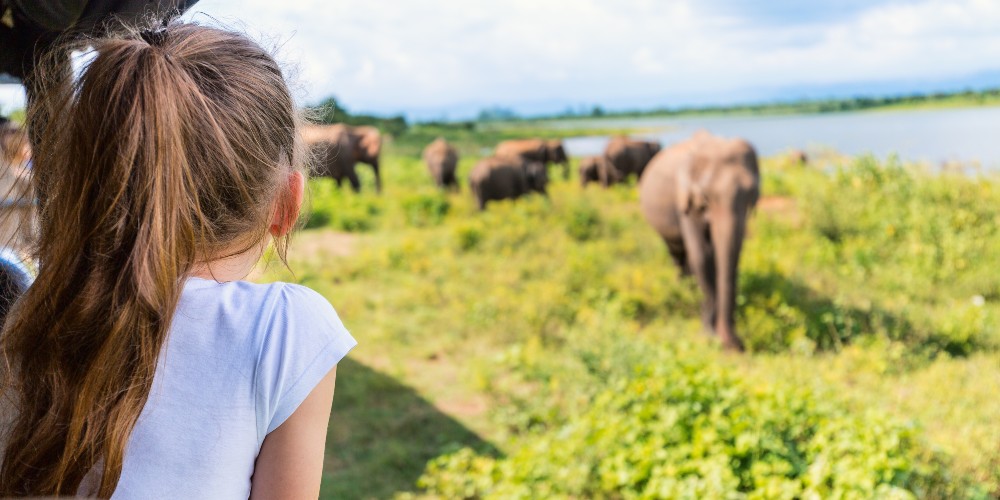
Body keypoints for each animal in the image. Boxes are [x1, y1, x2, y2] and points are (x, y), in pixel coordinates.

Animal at [640, 131, 756, 354]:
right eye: (706, 196)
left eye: (752, 194)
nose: (736, 345)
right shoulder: (684, 200)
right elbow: (702, 255)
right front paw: (708, 334)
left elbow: (729, 256)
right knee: (677, 252)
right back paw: (684, 287)